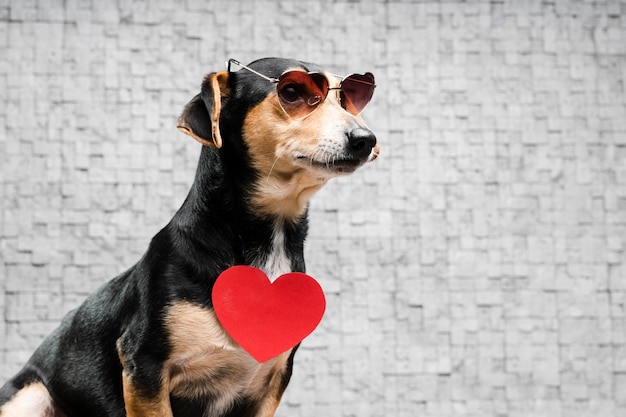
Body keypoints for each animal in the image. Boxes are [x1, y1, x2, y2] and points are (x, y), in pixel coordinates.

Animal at [0, 56, 376, 416]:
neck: (269, 235)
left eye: (347, 99)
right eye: (292, 92)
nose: (366, 139)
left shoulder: (270, 382)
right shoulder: (145, 368)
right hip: (31, 396)